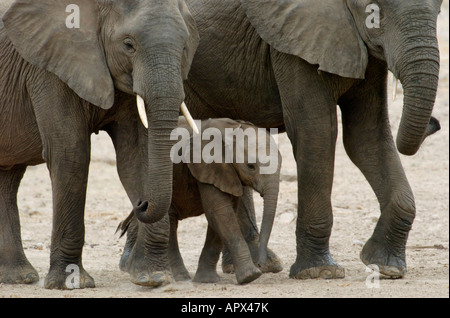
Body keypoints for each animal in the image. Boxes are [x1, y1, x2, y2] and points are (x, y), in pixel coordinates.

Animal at [0, 0, 199, 290]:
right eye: (128, 45)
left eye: (185, 47)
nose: (141, 204)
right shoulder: (47, 68)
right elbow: (71, 153)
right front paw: (71, 283)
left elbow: (136, 156)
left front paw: (153, 278)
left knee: (8, 177)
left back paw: (17, 277)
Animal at [119, 117, 282, 286]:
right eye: (251, 166)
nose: (261, 265)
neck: (231, 128)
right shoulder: (207, 167)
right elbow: (220, 212)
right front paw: (250, 276)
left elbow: (220, 215)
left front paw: (207, 280)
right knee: (169, 221)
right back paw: (179, 278)